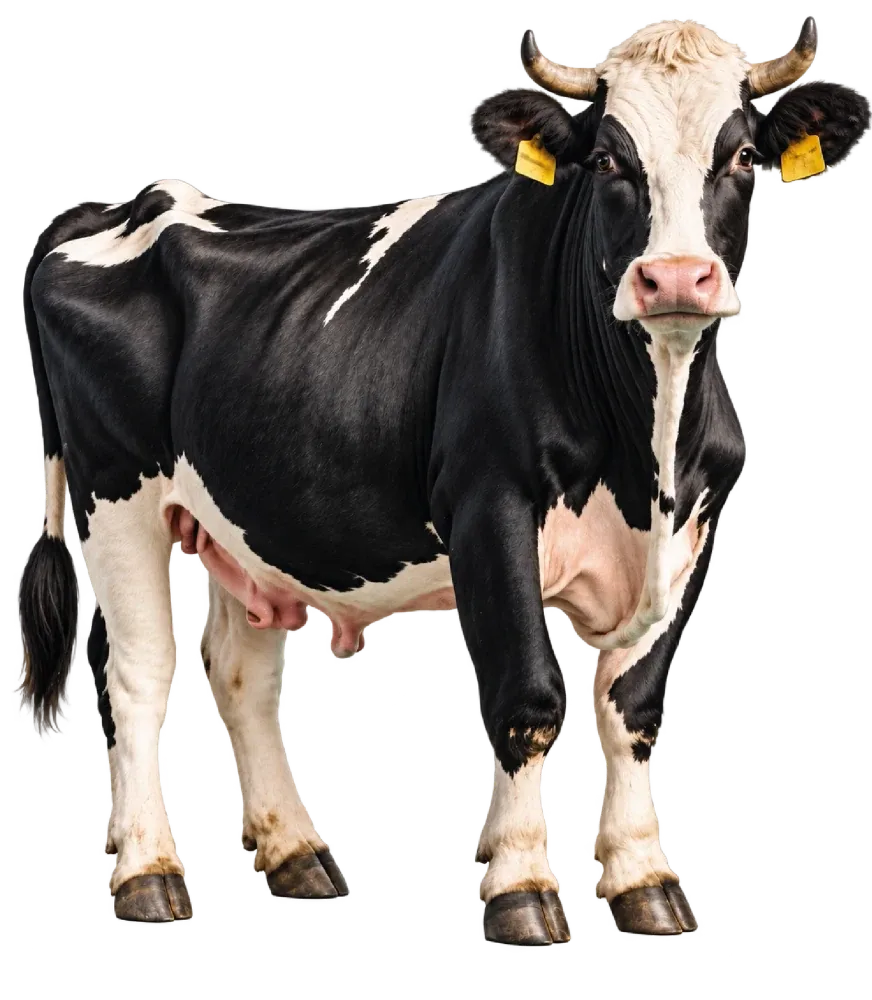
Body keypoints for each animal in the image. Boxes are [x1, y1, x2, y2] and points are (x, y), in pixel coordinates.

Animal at [15, 15, 871, 946]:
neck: (645, 455)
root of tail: (130, 201)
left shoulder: (696, 529)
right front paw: (522, 885)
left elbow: (635, 711)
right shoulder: (488, 508)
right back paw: (149, 874)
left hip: (246, 520)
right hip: (116, 495)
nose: (675, 276)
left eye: (745, 154)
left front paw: (645, 881)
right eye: (608, 159)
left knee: (240, 678)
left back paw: (298, 856)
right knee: (136, 677)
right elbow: (527, 698)